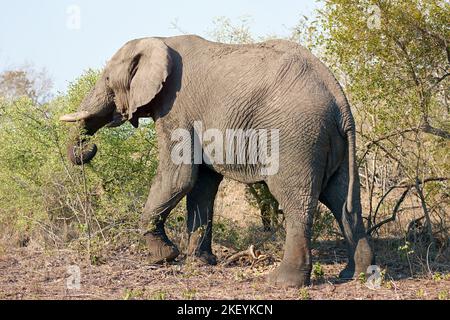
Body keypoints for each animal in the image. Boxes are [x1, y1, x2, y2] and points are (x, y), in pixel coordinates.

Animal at [60, 35, 376, 288]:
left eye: (107, 80)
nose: (90, 147)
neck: (158, 39)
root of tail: (340, 101)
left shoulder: (176, 107)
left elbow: (179, 176)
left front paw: (164, 256)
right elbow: (202, 184)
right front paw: (199, 262)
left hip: (296, 137)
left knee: (295, 200)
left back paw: (283, 282)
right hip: (332, 141)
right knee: (343, 201)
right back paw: (356, 275)